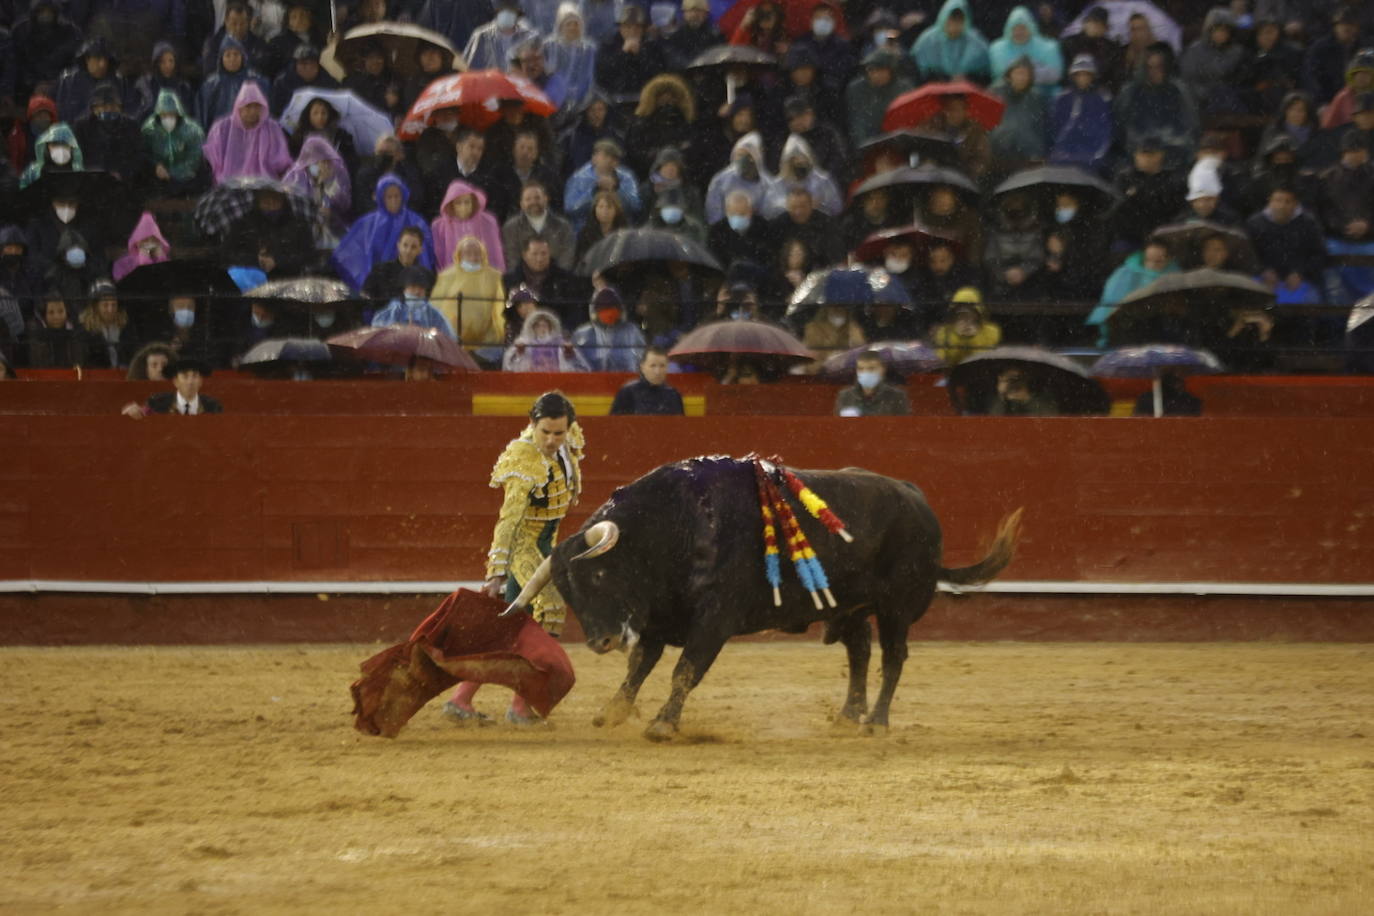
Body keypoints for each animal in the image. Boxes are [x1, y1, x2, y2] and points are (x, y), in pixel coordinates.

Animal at [505, 455, 1022, 741]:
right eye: (567, 590)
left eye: (600, 573)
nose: (601, 642)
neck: (673, 526)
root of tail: (916, 498)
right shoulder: (659, 618)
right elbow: (639, 669)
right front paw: (610, 714)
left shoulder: (713, 620)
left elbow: (684, 670)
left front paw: (663, 725)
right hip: (849, 607)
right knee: (859, 652)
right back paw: (847, 716)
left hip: (896, 607)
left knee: (892, 657)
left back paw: (875, 721)